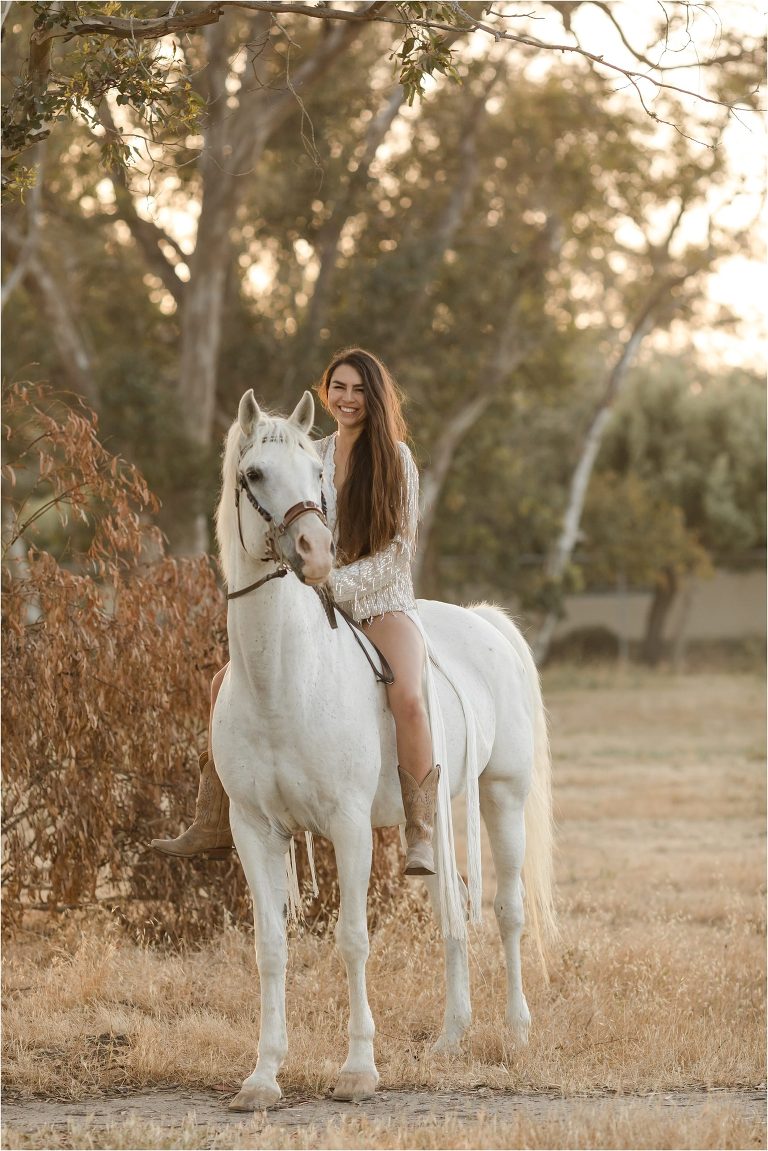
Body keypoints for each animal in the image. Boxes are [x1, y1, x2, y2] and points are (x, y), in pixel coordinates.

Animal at [210, 388, 556, 1112]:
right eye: (255, 474)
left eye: (317, 476)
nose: (314, 549)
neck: (283, 680)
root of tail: (486, 621)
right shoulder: (253, 828)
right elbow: (271, 947)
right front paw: (263, 1076)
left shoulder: (347, 826)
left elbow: (352, 939)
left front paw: (358, 1069)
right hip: (440, 815)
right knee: (452, 905)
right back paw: (452, 1037)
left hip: (503, 797)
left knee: (507, 911)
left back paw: (515, 1032)